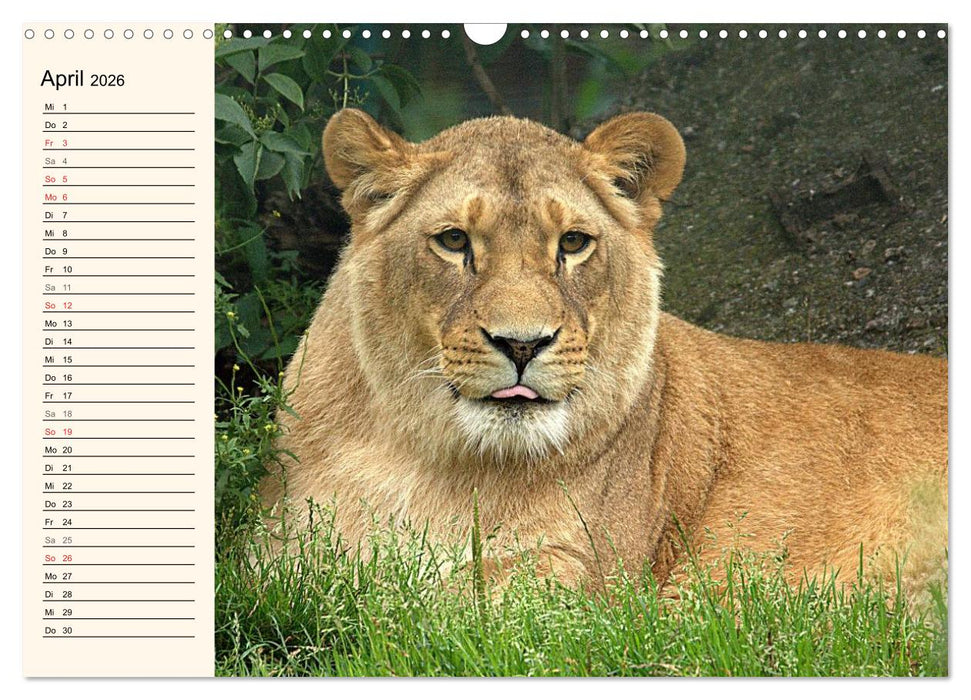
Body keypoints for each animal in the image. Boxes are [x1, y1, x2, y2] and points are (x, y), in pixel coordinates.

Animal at [258, 108, 948, 598]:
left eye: (573, 242)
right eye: (453, 241)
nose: (522, 343)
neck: (435, 461)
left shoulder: (583, 586)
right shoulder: (278, 551)